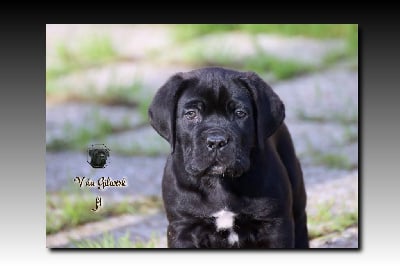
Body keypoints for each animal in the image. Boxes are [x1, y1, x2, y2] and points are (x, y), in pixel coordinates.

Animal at [148, 67, 308, 249]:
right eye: (191, 114)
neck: (219, 183)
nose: (216, 141)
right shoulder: (183, 228)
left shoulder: (275, 225)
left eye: (240, 114)